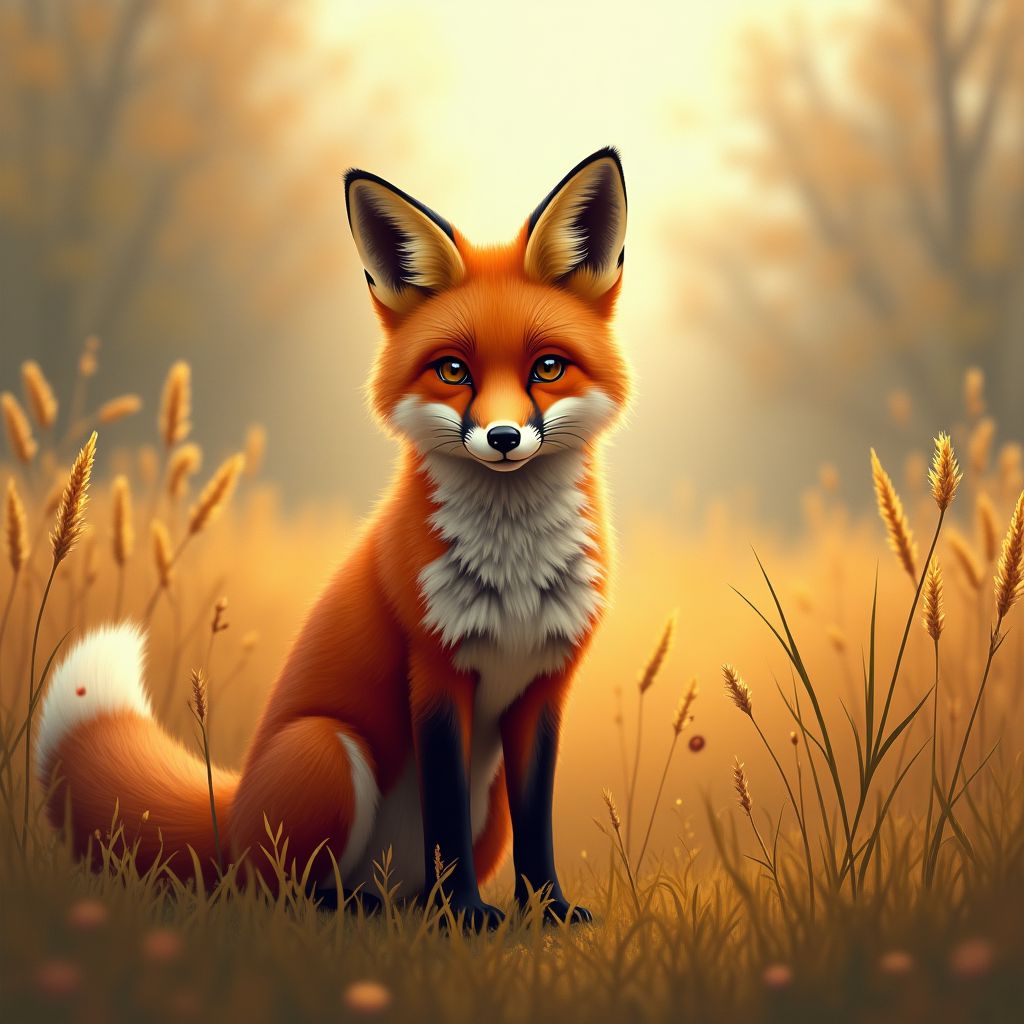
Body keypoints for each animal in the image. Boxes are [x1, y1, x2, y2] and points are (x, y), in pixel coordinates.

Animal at [35, 147, 630, 928]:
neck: (514, 575)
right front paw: (465, 916)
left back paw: (411, 906)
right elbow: (444, 816)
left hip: (486, 793)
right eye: (454, 371)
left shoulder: (544, 687)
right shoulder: (433, 671)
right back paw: (366, 908)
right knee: (277, 890)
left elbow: (538, 826)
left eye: (548, 368)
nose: (503, 438)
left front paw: (547, 910)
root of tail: (232, 809)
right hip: (327, 748)